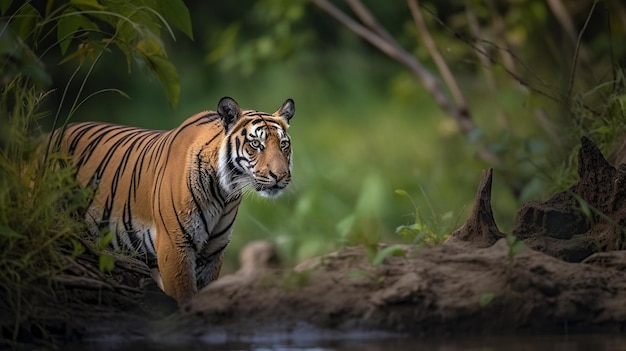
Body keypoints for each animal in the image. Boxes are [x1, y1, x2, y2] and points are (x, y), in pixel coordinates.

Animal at [50, 97, 294, 306]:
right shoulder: (174, 245)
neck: (224, 193)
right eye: (256, 144)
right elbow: (184, 296)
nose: (280, 175)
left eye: (283, 145)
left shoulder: (213, 252)